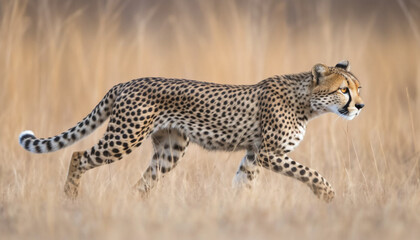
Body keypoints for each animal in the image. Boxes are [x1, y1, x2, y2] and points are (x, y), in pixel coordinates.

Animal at [18, 61, 362, 202]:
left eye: (359, 88)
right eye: (344, 90)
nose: (360, 106)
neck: (308, 101)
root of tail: (126, 82)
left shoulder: (253, 155)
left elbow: (243, 183)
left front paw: (238, 210)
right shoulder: (269, 153)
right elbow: (311, 172)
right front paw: (328, 195)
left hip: (170, 150)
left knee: (141, 184)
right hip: (124, 137)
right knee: (78, 155)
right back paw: (70, 197)